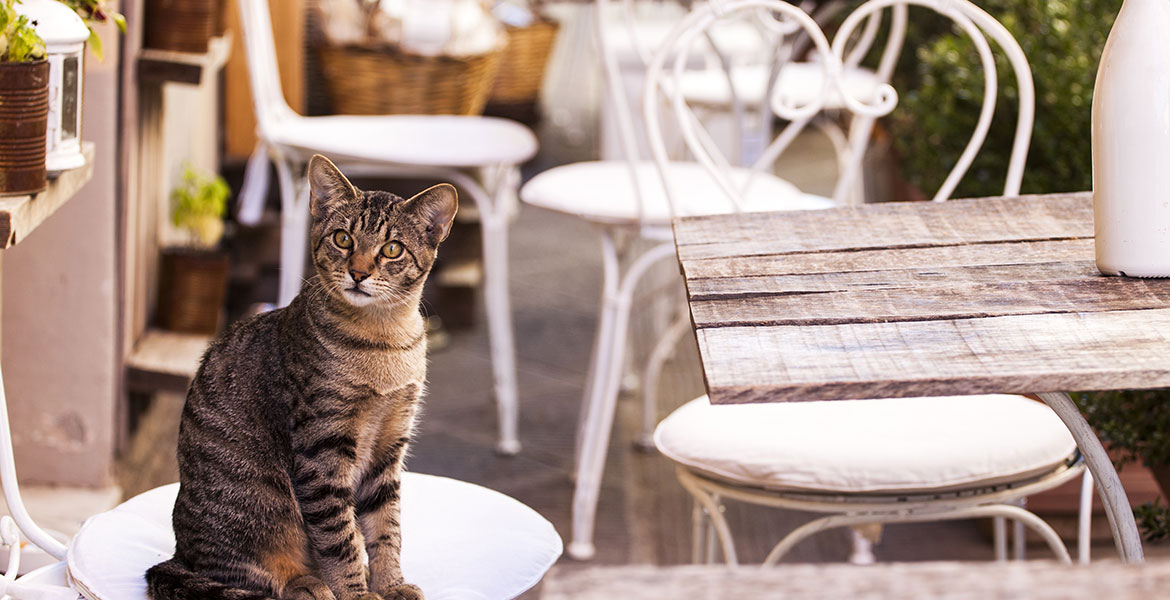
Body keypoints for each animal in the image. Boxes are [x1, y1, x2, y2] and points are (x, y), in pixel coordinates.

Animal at [142, 155, 456, 598]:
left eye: (392, 249)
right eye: (343, 239)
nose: (358, 273)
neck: (384, 340)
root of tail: (178, 554)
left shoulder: (390, 444)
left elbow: (385, 526)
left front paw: (391, 583)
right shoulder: (322, 448)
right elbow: (339, 537)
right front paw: (357, 592)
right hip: (259, 505)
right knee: (256, 573)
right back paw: (307, 583)